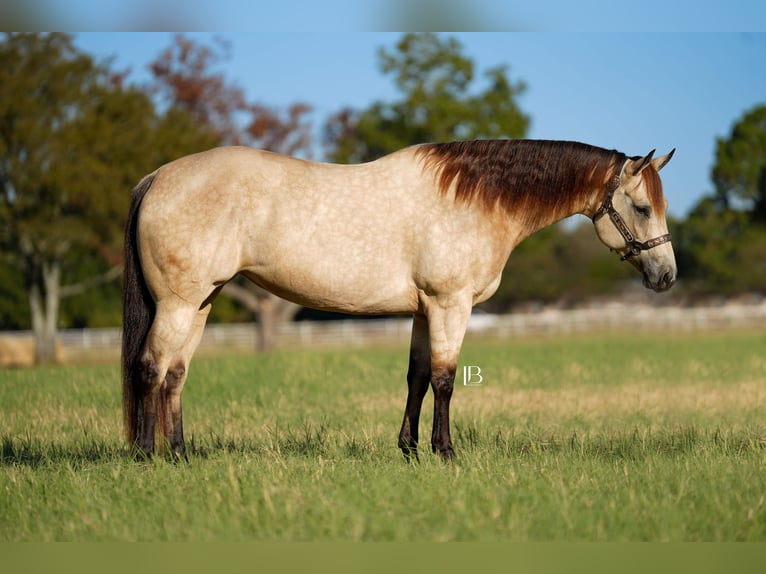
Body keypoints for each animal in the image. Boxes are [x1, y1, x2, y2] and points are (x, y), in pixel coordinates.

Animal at [122, 139, 676, 461]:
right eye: (642, 207)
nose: (667, 275)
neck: (472, 199)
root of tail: (157, 177)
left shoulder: (423, 310)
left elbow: (417, 377)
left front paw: (409, 451)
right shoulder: (450, 304)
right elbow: (446, 380)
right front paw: (446, 453)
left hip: (201, 303)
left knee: (175, 374)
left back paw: (180, 455)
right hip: (178, 304)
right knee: (150, 367)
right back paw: (147, 456)